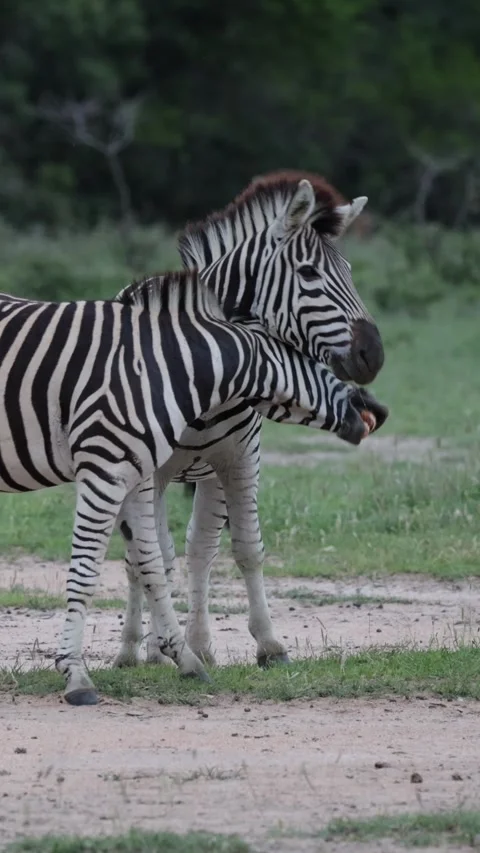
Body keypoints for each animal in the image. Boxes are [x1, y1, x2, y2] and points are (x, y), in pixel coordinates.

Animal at [0, 272, 386, 705]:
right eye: (323, 368)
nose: (379, 413)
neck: (166, 367)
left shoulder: (135, 474)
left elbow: (151, 564)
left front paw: (183, 657)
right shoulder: (105, 468)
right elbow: (86, 571)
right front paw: (75, 674)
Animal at [113, 170, 385, 669]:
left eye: (351, 272)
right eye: (309, 273)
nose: (372, 355)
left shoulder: (239, 459)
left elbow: (243, 549)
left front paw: (267, 643)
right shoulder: (153, 471)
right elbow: (151, 556)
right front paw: (156, 646)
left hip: (203, 474)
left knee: (198, 548)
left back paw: (196, 643)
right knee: (140, 556)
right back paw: (137, 648)